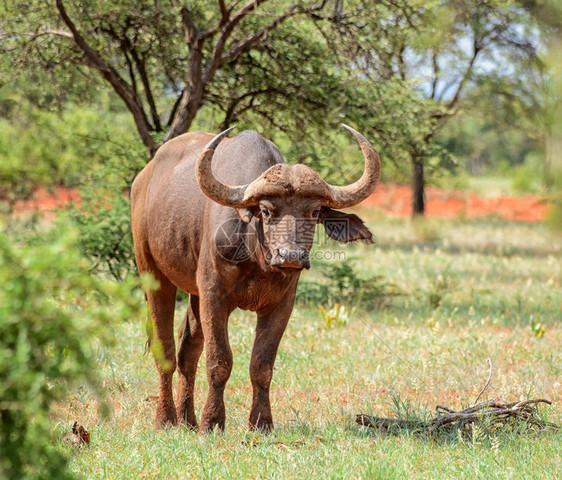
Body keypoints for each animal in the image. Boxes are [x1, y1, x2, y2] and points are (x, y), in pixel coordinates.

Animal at [129, 124, 378, 432]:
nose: (290, 255)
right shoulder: (214, 296)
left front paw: (261, 422)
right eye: (267, 210)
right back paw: (166, 418)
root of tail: (143, 180)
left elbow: (262, 364)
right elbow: (220, 361)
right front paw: (213, 421)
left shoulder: (281, 304)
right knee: (165, 350)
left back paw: (188, 420)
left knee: (188, 349)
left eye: (314, 211)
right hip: (152, 273)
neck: (256, 257)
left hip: (193, 293)